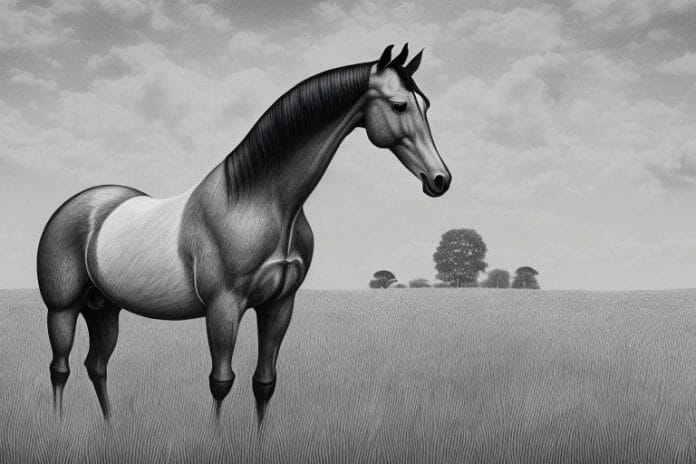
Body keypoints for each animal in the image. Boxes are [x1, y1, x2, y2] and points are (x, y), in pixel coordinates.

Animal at [37, 44, 451, 425]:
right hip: (62, 309)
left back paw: (110, 428)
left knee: (97, 365)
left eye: (427, 105)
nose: (439, 180)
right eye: (399, 106)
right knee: (60, 368)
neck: (256, 202)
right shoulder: (223, 307)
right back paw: (58, 429)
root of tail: (80, 205)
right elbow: (221, 381)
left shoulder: (279, 304)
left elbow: (264, 382)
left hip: (104, 307)